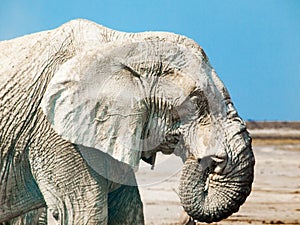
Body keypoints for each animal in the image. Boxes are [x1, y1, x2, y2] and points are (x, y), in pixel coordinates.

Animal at [0, 19, 254, 223]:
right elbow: (84, 211)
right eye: (196, 101)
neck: (128, 43)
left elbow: (130, 210)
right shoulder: (55, 134)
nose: (210, 160)